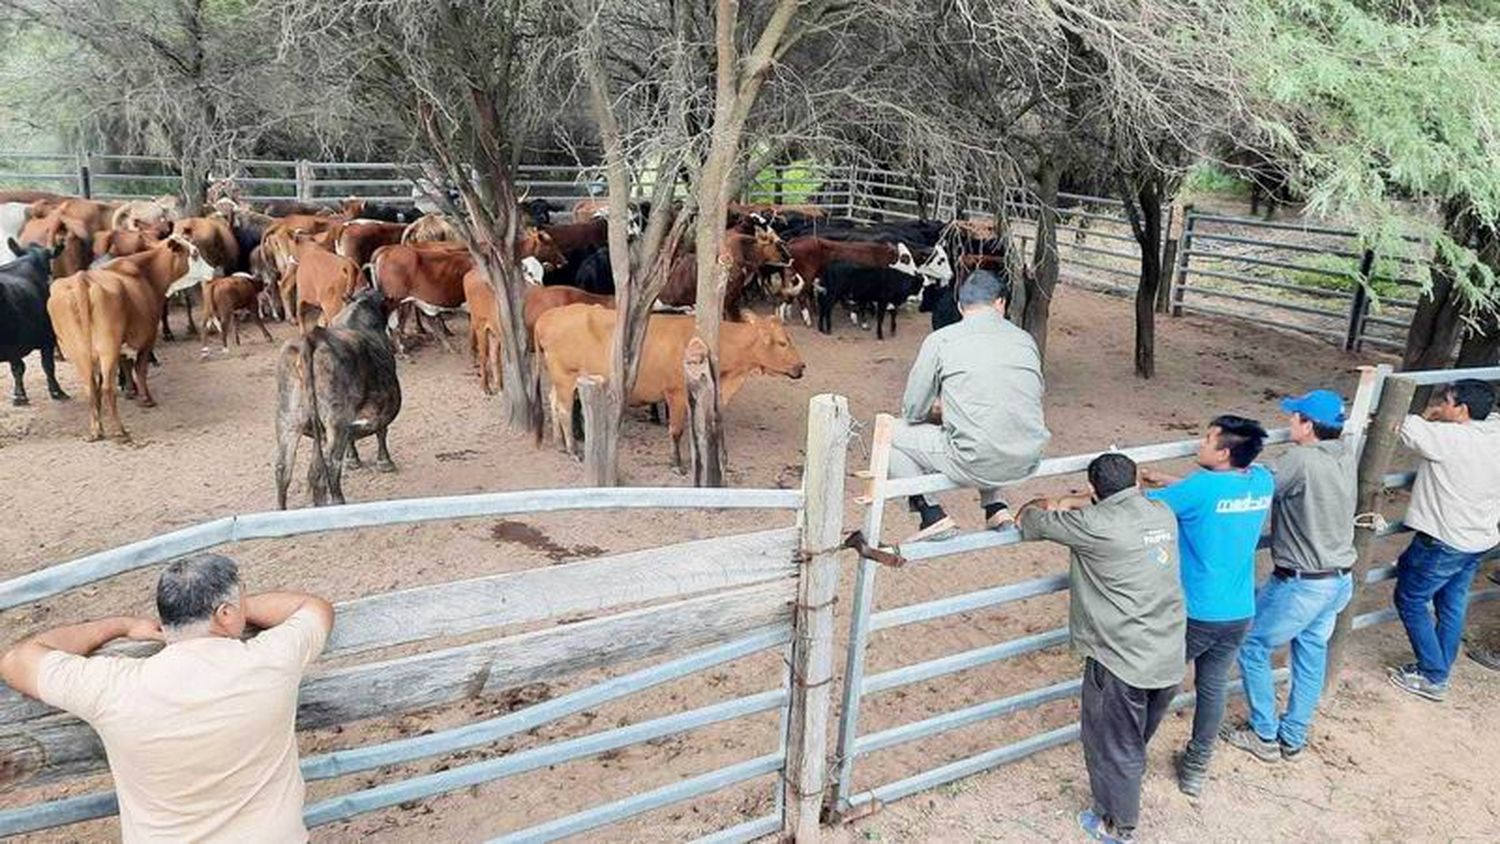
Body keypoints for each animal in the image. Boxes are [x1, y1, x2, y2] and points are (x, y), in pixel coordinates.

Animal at [46, 233, 216, 440]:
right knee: (107, 388)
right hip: (107, 348)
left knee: (91, 387)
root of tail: (82, 278)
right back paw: (119, 430)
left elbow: (126, 365)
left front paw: (130, 391)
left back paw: (96, 430)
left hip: (78, 353)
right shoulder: (147, 338)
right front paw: (146, 399)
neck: (147, 273)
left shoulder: (123, 344)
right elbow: (140, 370)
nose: (212, 270)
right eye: (195, 253)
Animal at [276, 283, 402, 509]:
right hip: (336, 421)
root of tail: (311, 337)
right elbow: (382, 430)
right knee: (327, 467)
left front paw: (354, 459)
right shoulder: (378, 407)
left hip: (288, 418)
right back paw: (338, 502)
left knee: (285, 470)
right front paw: (385, 462)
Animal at [534, 305, 804, 476]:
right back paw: (573, 449)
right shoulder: (675, 393)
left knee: (554, 402)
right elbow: (676, 430)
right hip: (565, 376)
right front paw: (676, 464)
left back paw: (559, 442)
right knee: (564, 409)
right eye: (783, 342)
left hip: (562, 379)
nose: (801, 366)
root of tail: (546, 317)